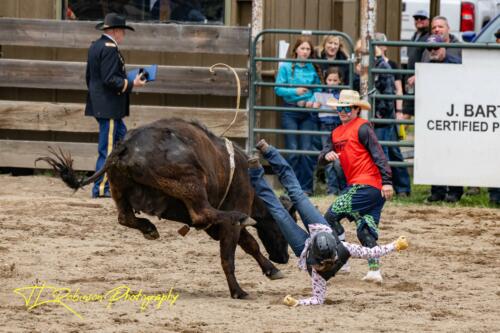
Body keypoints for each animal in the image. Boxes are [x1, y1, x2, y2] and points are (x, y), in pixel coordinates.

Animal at [36, 118, 290, 296]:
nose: (285, 257)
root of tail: (126, 146)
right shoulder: (230, 222)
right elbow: (235, 252)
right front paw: (238, 290)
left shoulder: (217, 229)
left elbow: (249, 244)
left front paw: (271, 270)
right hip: (190, 181)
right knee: (202, 213)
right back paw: (235, 217)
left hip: (119, 188)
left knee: (125, 217)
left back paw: (149, 228)